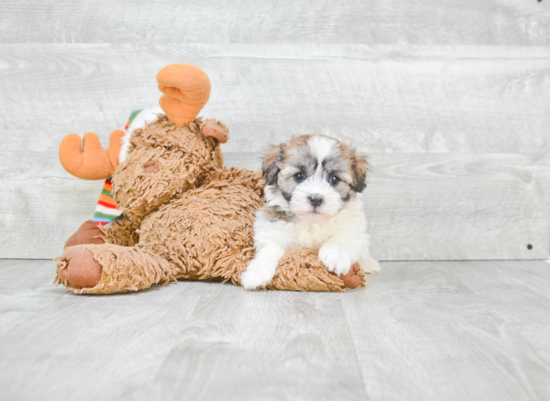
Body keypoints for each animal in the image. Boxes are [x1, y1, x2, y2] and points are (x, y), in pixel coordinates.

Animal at [244, 133, 382, 290]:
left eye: (334, 179)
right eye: (299, 176)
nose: (316, 199)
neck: (311, 222)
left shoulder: (354, 228)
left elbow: (344, 236)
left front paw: (336, 255)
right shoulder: (272, 229)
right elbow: (270, 247)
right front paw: (257, 273)